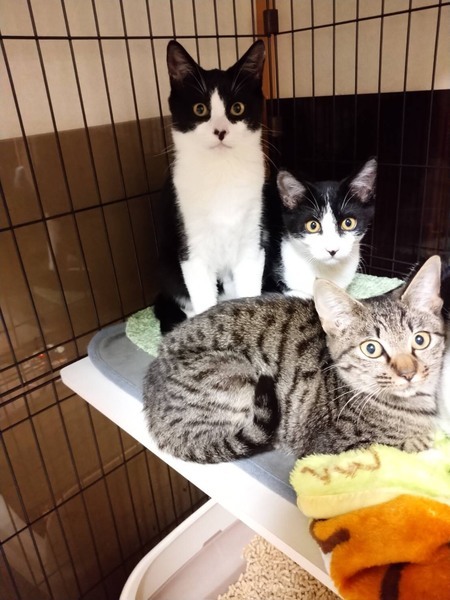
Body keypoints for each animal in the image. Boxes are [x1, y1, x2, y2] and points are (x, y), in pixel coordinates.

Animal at [143, 255, 445, 464]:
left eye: (420, 340)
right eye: (371, 349)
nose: (408, 373)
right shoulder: (325, 448)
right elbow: (394, 448)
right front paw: (420, 443)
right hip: (237, 373)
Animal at [153, 40, 266, 334]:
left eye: (237, 108)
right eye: (200, 109)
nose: (220, 131)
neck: (221, 174)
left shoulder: (253, 240)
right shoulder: (192, 250)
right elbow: (202, 295)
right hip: (167, 266)